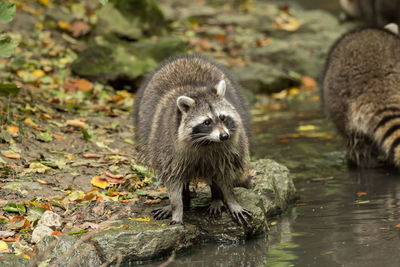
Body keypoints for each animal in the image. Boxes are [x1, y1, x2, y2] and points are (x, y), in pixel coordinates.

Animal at [134, 54, 253, 226]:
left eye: (223, 118)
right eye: (207, 122)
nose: (224, 136)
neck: (207, 142)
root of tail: (186, 57)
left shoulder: (231, 147)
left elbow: (226, 173)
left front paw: (230, 199)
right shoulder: (167, 146)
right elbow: (172, 179)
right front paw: (177, 208)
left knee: (215, 169)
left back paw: (216, 197)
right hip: (147, 129)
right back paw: (185, 200)